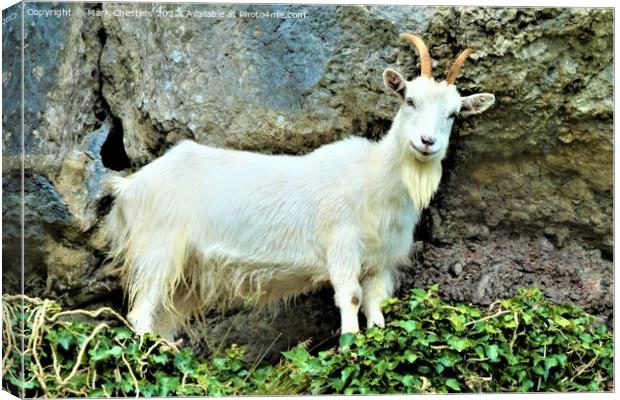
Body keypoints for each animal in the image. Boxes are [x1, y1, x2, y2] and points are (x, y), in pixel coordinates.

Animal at [104, 34, 496, 340]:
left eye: (453, 114)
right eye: (410, 100)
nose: (427, 142)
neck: (375, 179)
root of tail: (129, 187)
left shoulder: (381, 262)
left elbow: (375, 303)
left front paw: (375, 341)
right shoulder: (342, 246)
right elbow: (351, 297)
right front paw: (349, 347)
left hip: (186, 273)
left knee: (162, 320)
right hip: (157, 250)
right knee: (140, 314)